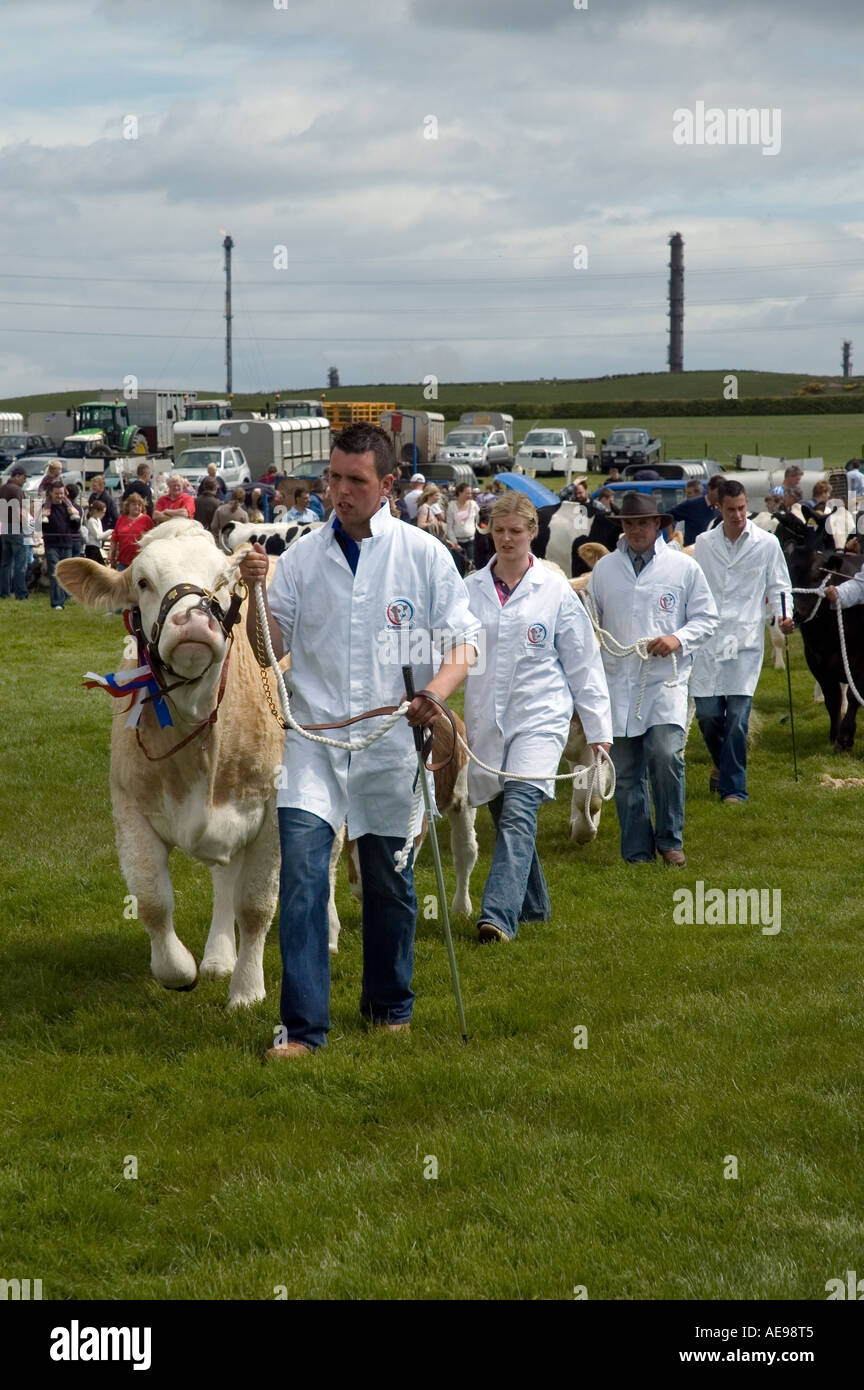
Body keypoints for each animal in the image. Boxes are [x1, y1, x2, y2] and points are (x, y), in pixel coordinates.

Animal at [777, 505, 864, 750]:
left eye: (818, 576)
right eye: (787, 573)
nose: (794, 613)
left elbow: (853, 696)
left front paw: (845, 737)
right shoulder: (816, 660)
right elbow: (832, 698)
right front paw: (835, 734)